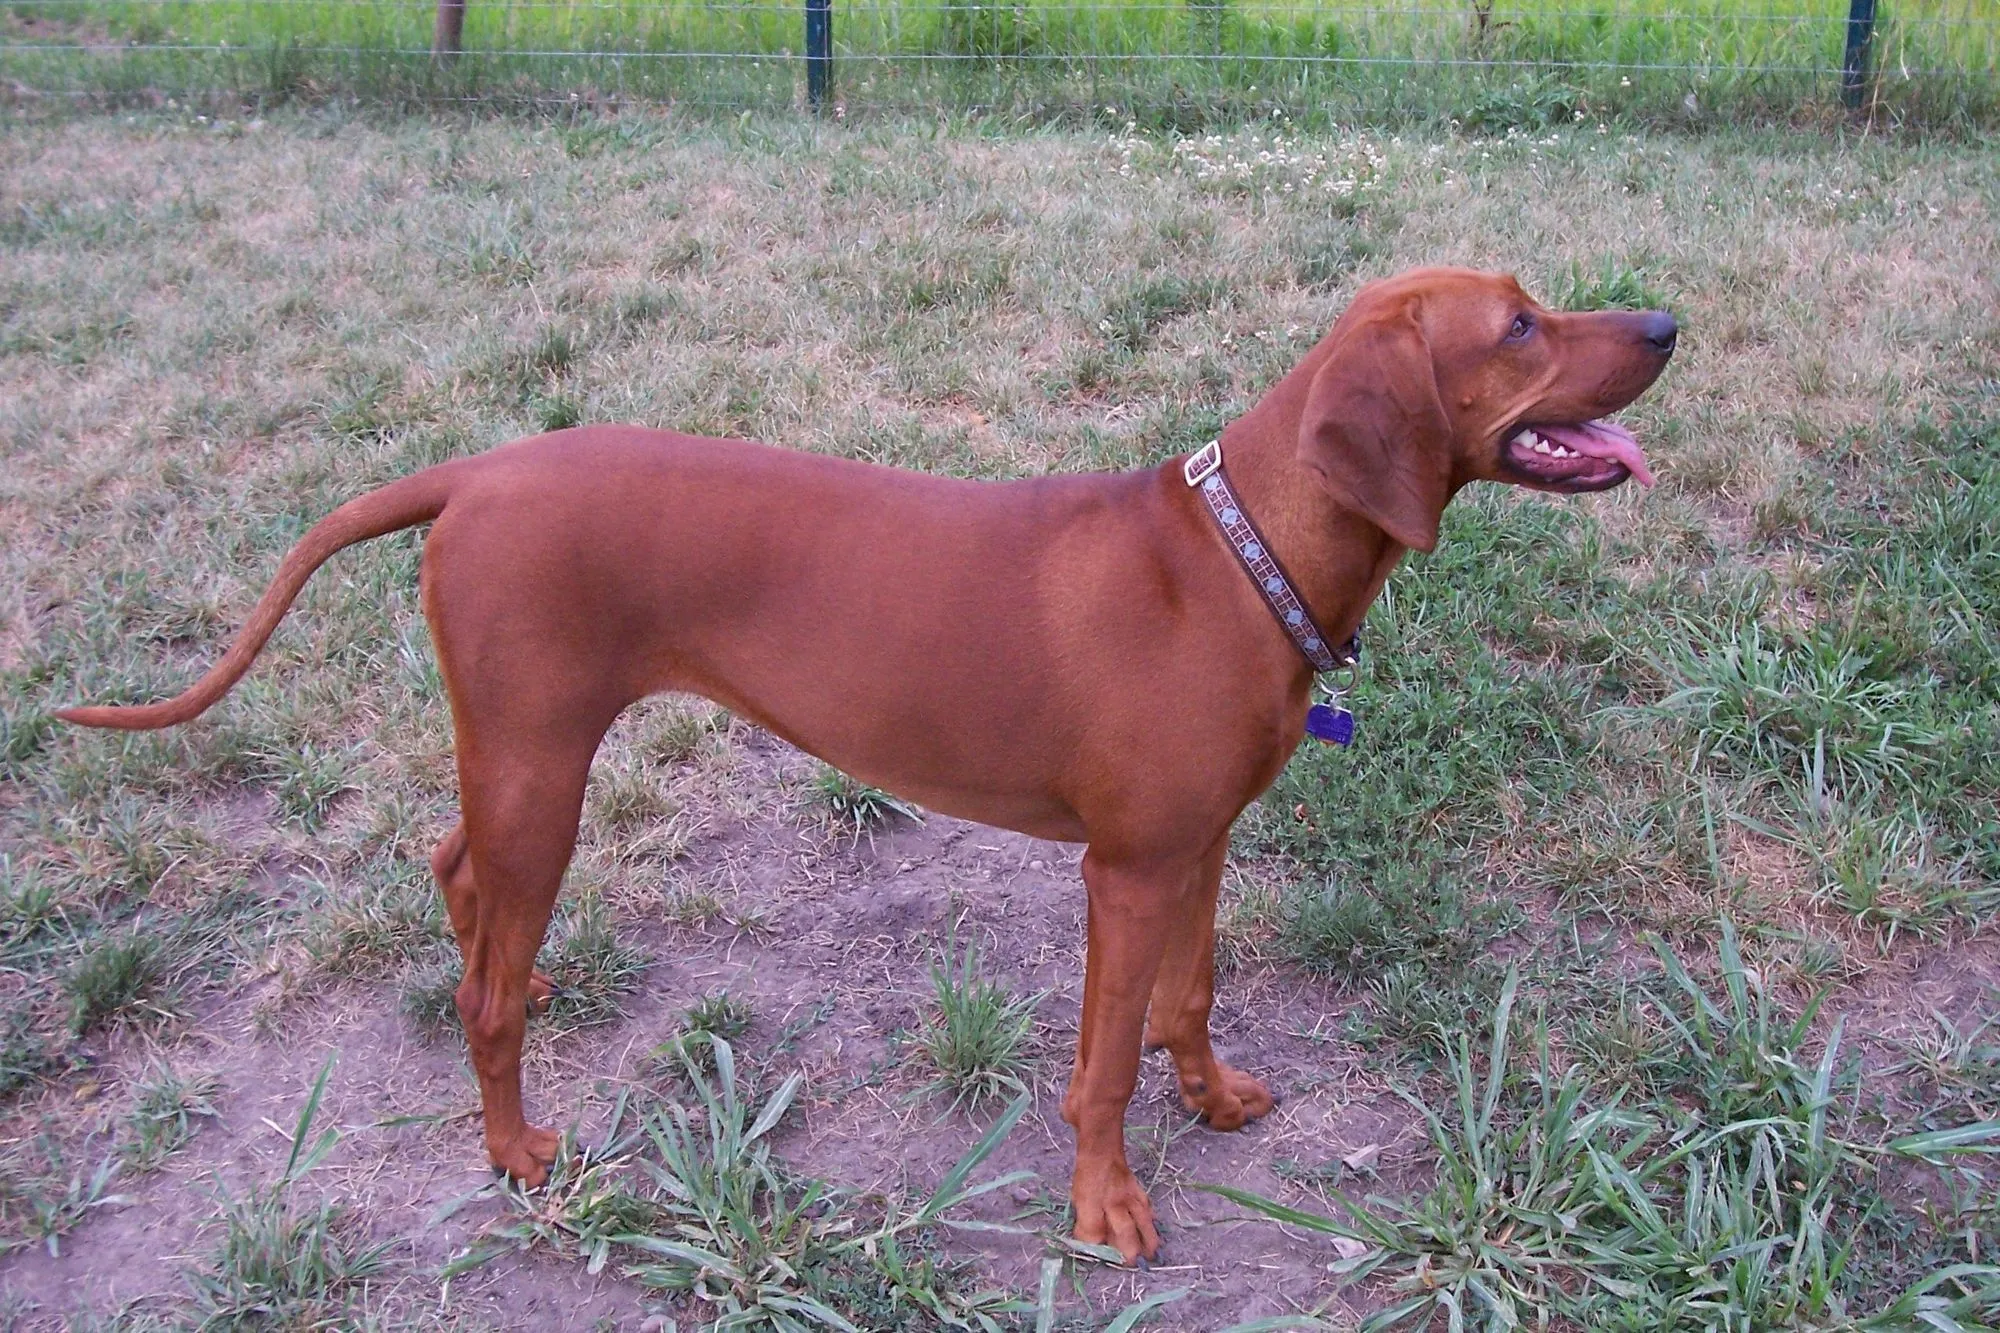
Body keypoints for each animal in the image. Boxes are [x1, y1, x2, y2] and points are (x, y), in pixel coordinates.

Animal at [54, 268, 1672, 1256]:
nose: (1663, 321)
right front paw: (1105, 1205)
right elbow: (1099, 1061)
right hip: (542, 769)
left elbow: (1189, 999)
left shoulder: (1197, 845)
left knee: (458, 878)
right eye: (1518, 326)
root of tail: (476, 470)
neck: (1242, 550)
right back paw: (514, 1145)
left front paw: (1209, 1097)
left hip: (513, 762)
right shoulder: (1126, 870)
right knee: (484, 989)